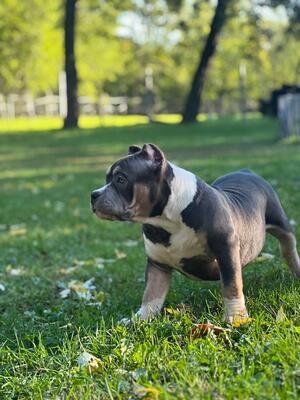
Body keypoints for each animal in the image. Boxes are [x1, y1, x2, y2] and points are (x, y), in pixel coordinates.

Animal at [91, 142, 300, 324]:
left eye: (121, 179)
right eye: (107, 179)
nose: (93, 194)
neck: (165, 221)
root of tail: (246, 171)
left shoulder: (226, 251)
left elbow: (231, 285)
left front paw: (236, 318)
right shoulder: (158, 265)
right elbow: (151, 294)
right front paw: (140, 319)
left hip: (281, 223)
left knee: (288, 248)